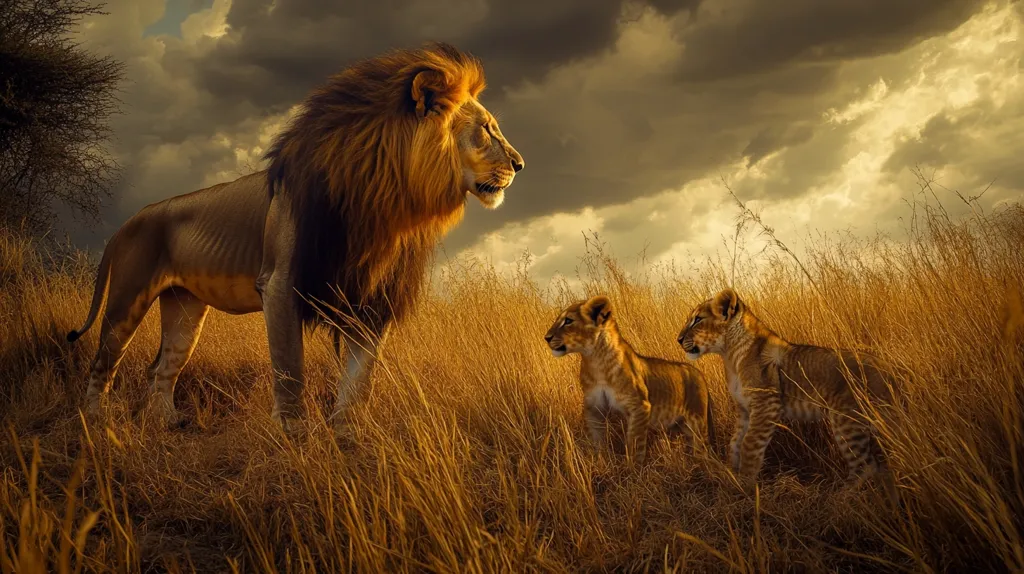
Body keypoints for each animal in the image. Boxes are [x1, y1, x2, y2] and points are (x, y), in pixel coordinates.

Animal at [67, 42, 524, 433]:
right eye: (487, 130)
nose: (520, 164)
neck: (385, 204)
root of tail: (130, 219)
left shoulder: (372, 297)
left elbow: (360, 380)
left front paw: (347, 435)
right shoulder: (282, 283)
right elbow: (290, 369)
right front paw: (293, 433)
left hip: (185, 309)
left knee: (161, 369)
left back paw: (168, 423)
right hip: (127, 299)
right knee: (102, 363)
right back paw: (97, 422)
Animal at [545, 295, 715, 465]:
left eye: (568, 320)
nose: (546, 338)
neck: (596, 361)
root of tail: (699, 374)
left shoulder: (639, 406)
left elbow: (634, 443)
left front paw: (632, 469)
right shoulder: (594, 408)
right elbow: (596, 442)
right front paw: (598, 462)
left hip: (697, 423)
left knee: (702, 448)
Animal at [677, 288, 902, 489]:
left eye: (697, 319)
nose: (678, 340)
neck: (730, 356)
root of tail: (891, 369)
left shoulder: (767, 405)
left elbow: (750, 444)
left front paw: (745, 487)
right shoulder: (744, 409)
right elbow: (735, 442)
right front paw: (733, 474)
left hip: (846, 421)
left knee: (867, 466)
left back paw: (839, 500)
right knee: (882, 468)